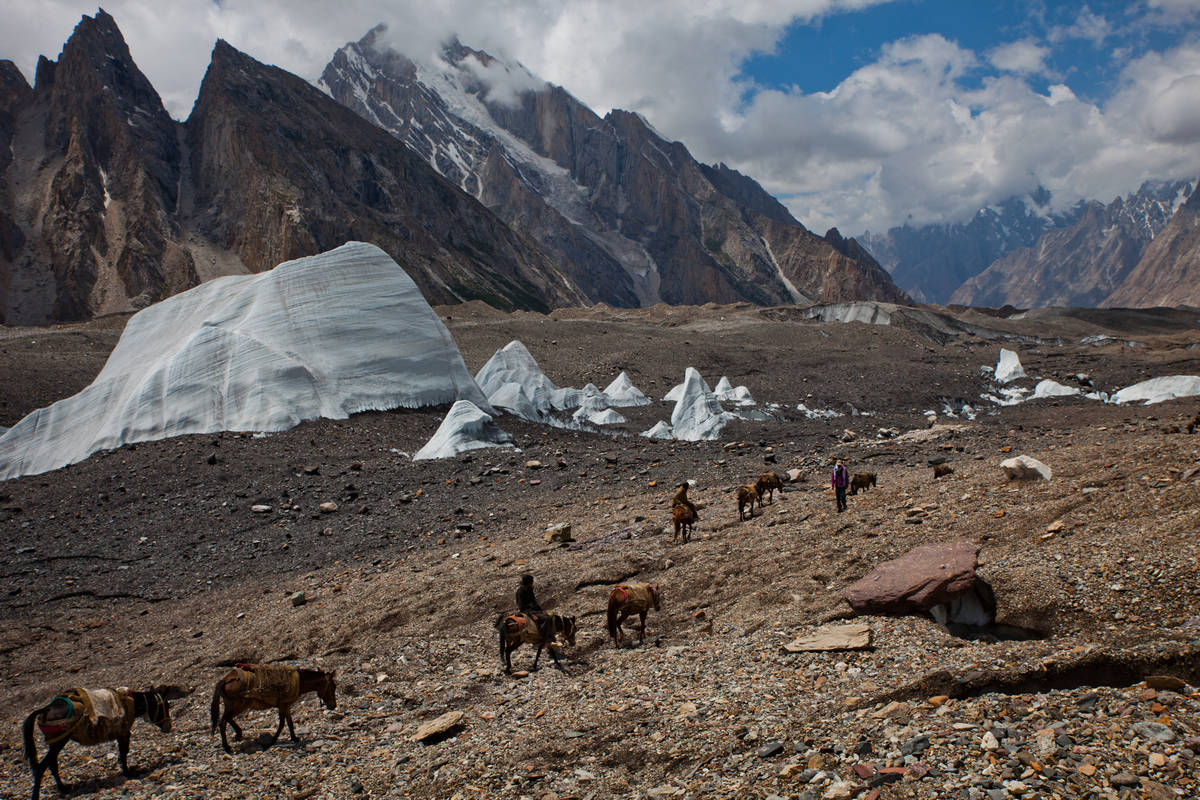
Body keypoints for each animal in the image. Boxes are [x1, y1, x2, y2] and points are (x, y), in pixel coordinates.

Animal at [23, 686, 183, 800]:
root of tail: (47, 708)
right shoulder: (124, 733)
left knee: (51, 764)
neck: (132, 703)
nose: (169, 727)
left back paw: (64, 788)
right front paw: (128, 773)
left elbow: (122, 753)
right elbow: (124, 753)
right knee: (41, 767)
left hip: (56, 742)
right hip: (59, 741)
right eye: (166, 705)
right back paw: (39, 794)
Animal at [208, 666, 336, 753]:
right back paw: (227, 747)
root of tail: (226, 679)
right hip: (238, 705)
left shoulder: (286, 705)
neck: (299, 681)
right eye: (333, 687)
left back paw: (238, 734)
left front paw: (294, 738)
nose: (333, 706)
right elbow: (282, 723)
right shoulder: (283, 705)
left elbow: (289, 723)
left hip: (234, 705)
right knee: (223, 722)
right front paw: (273, 740)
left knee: (227, 719)